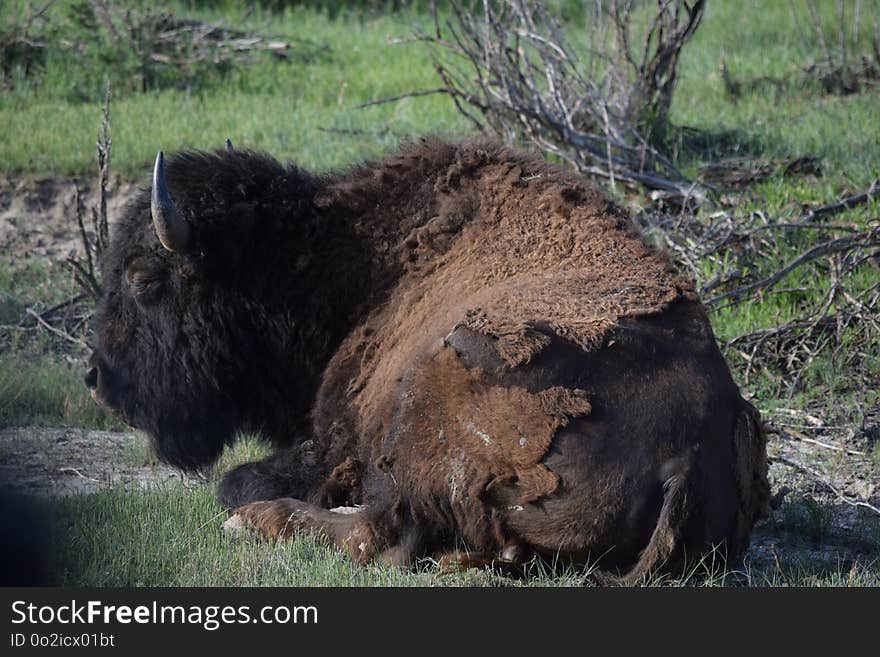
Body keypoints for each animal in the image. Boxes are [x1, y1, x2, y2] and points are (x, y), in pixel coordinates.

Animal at [86, 137, 768, 580]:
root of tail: (687, 451)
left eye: (144, 278)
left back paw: (257, 520)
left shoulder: (335, 445)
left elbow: (237, 479)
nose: (98, 380)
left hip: (433, 390)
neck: (347, 258)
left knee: (380, 534)